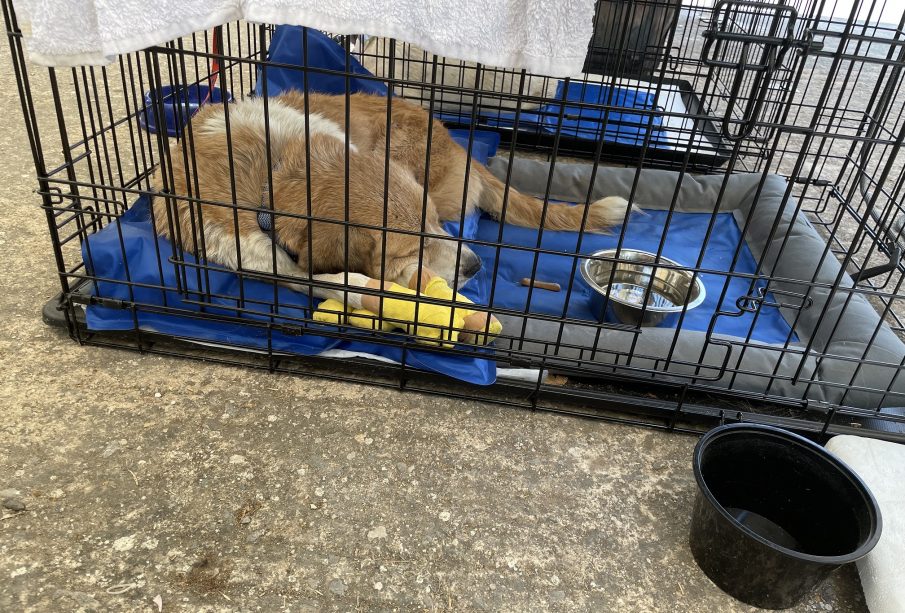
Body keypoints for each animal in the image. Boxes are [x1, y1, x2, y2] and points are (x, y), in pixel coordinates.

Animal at [151, 92, 630, 308]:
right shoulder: (256, 256)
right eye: (408, 247)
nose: (476, 266)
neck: (276, 173)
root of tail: (462, 150)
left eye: (433, 223)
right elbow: (336, 280)